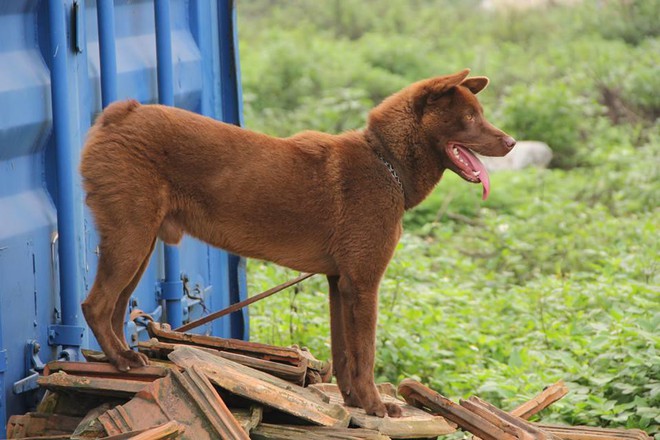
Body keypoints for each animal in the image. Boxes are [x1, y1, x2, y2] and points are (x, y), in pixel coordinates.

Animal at [80, 69, 516, 416]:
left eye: (480, 114)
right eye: (470, 118)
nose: (511, 142)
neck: (385, 162)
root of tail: (123, 112)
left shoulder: (339, 284)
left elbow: (344, 355)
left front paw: (355, 402)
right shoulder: (363, 285)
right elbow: (366, 354)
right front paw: (377, 407)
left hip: (139, 245)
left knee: (116, 308)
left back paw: (123, 357)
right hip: (131, 239)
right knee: (95, 305)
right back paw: (121, 360)